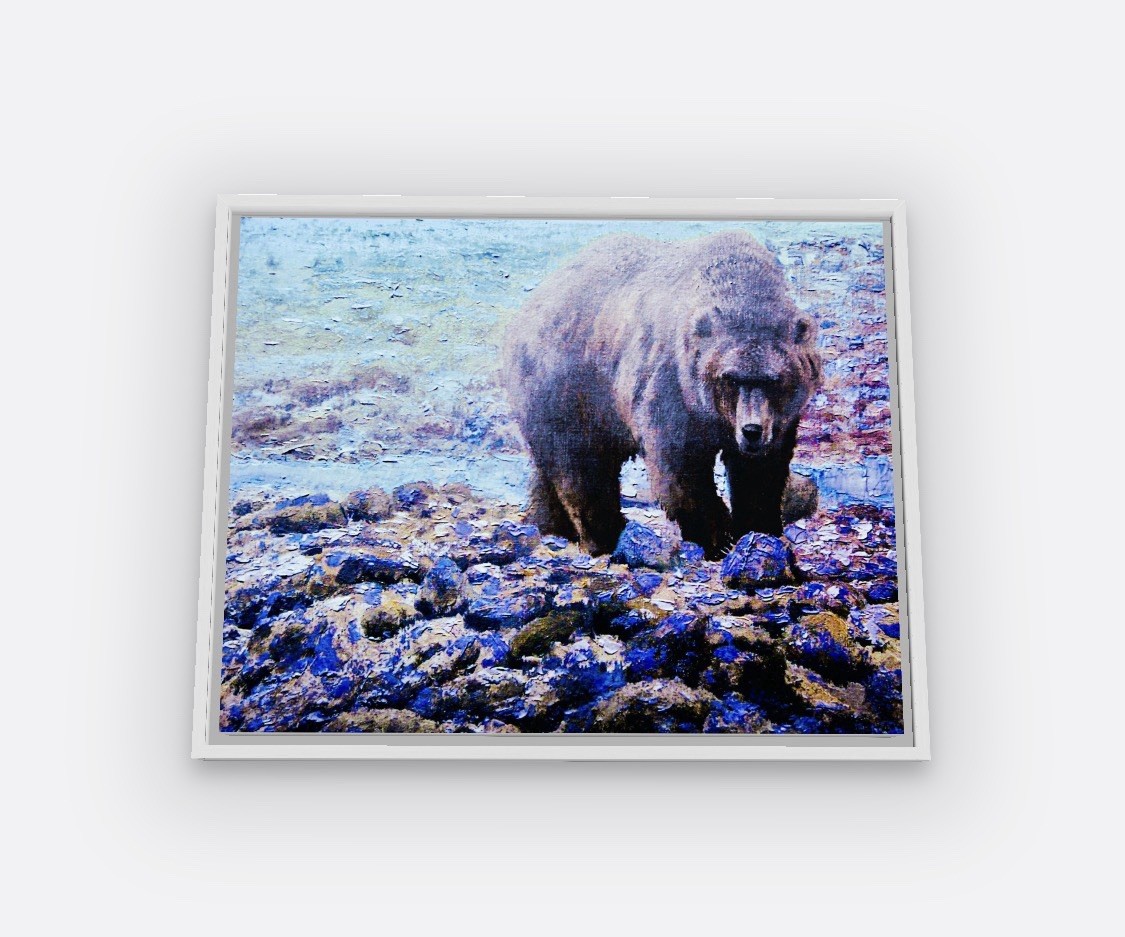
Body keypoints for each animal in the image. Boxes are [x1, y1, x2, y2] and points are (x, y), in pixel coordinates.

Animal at [502, 230, 822, 560]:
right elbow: (680, 469)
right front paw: (716, 538)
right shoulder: (671, 388)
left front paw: (760, 531)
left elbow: (760, 475)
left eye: (773, 379)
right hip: (569, 388)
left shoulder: (776, 419)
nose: (752, 430)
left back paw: (550, 526)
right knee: (581, 467)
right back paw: (606, 536)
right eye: (730, 378)